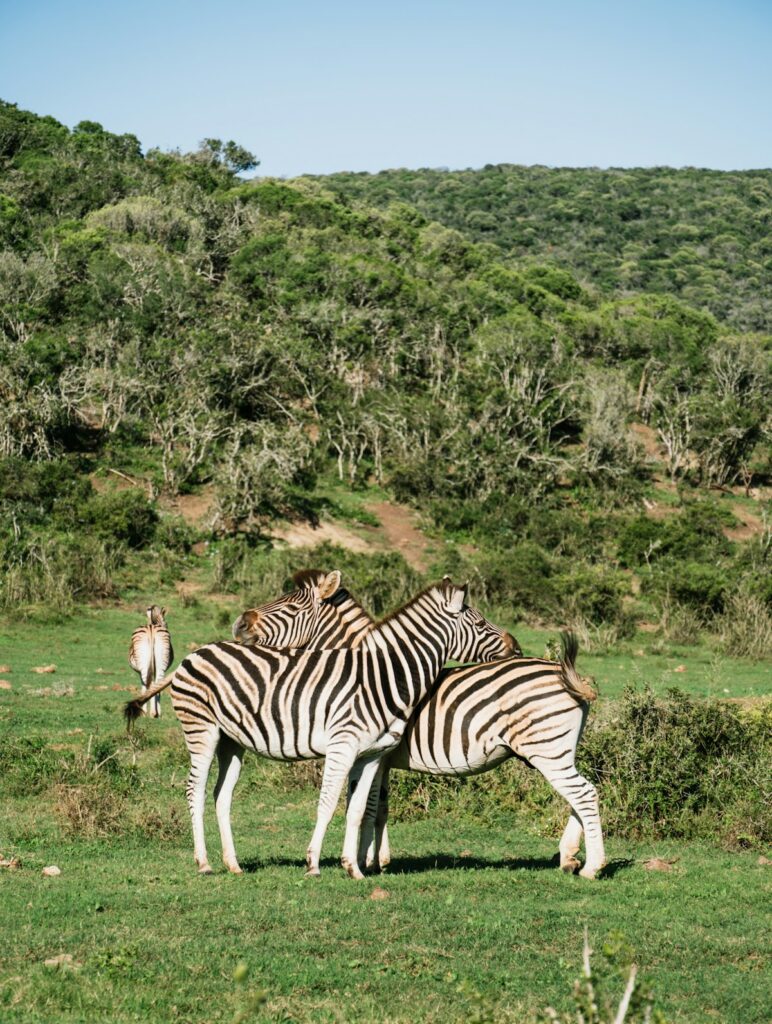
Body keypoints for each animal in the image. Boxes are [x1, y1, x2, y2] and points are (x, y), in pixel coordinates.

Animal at [125, 579, 515, 878]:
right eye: (481, 625)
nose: (515, 645)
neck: (382, 676)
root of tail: (194, 654)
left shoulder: (372, 755)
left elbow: (359, 809)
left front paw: (355, 867)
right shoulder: (343, 746)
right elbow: (328, 804)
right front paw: (315, 863)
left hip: (230, 741)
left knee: (221, 795)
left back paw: (233, 864)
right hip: (201, 731)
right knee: (195, 790)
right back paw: (204, 863)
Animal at [236, 576, 605, 879]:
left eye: (291, 605)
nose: (240, 624)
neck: (373, 671)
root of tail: (566, 674)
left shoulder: (376, 753)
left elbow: (369, 807)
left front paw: (366, 860)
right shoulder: (381, 757)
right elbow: (378, 807)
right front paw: (378, 859)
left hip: (547, 751)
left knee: (583, 794)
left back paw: (591, 866)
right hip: (556, 751)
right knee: (578, 795)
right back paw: (570, 857)